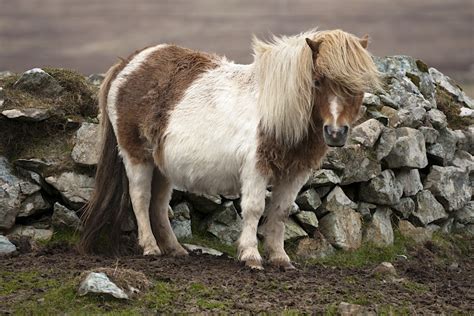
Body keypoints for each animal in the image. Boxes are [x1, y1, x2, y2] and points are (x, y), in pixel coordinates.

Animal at [78, 29, 382, 270]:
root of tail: (129, 63)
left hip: (162, 165)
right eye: (318, 81)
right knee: (140, 199)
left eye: (358, 86)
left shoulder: (295, 173)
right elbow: (254, 209)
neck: (278, 109)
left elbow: (281, 211)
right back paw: (150, 247)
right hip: (136, 156)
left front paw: (280, 258)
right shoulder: (256, 167)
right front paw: (251, 256)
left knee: (159, 205)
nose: (335, 133)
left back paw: (175, 249)